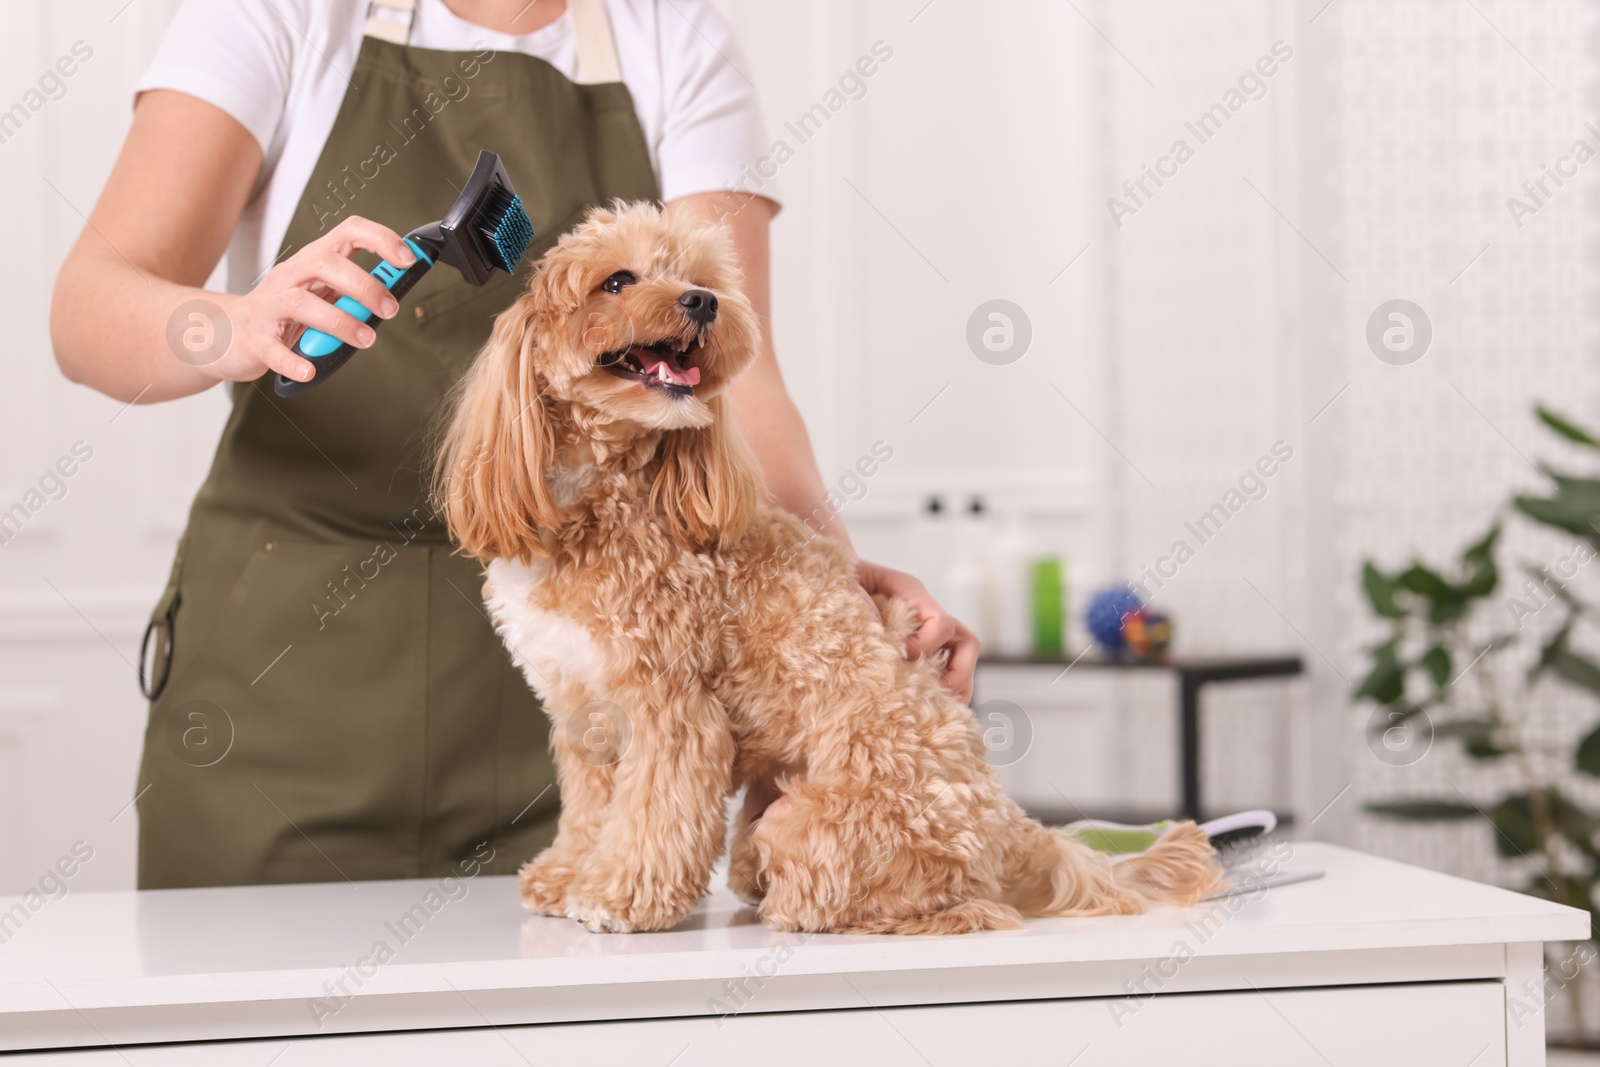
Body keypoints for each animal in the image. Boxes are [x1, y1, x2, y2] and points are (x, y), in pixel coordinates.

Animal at [432, 199, 1216, 934]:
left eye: (699, 279)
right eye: (618, 281)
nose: (702, 302)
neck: (599, 502)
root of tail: (1007, 820)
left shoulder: (672, 709)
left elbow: (653, 814)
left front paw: (620, 896)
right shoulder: (583, 710)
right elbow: (592, 811)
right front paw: (568, 876)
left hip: (816, 821)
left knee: (945, 900)